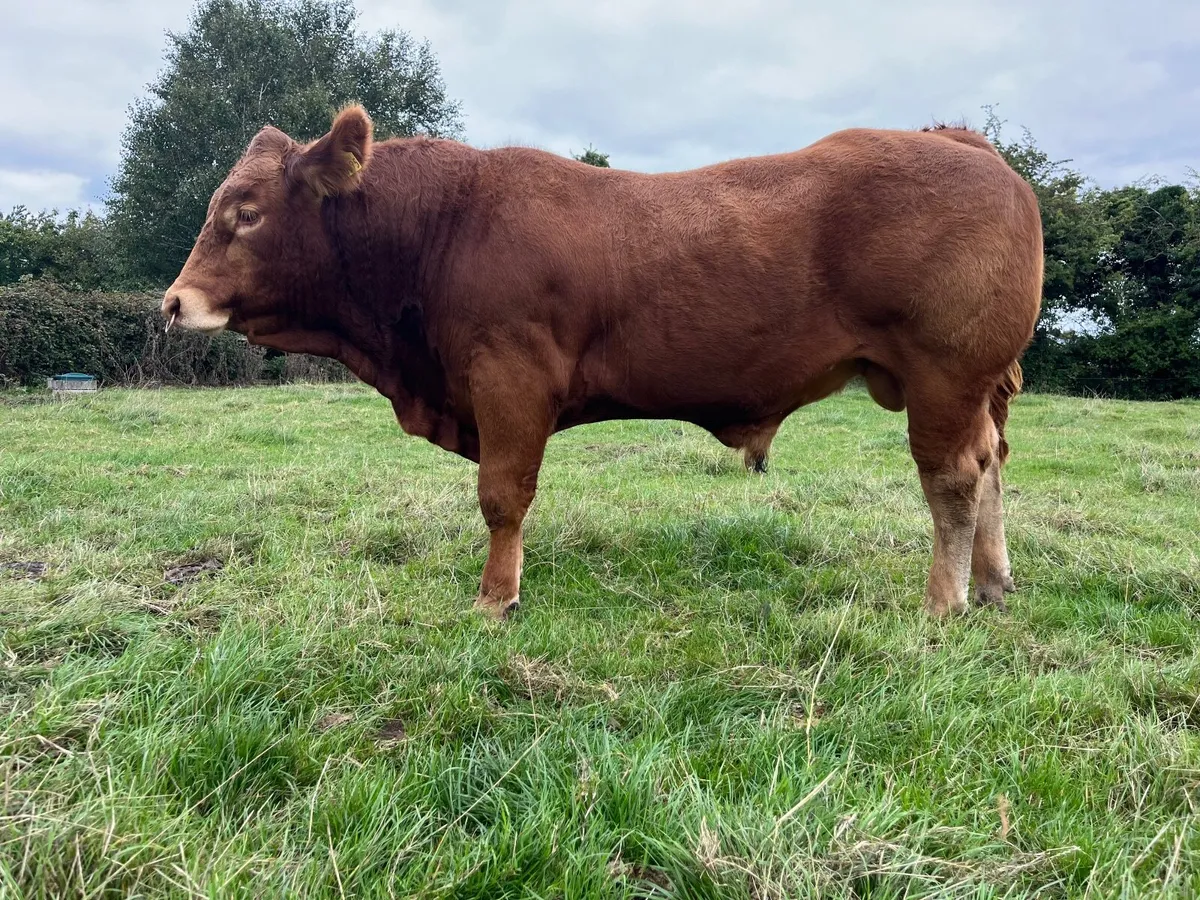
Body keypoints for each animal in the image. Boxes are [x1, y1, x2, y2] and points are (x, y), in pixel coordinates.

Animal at [163, 105, 1042, 619]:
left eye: (246, 213)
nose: (173, 303)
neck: (445, 226)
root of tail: (963, 144)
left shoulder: (510, 379)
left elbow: (502, 497)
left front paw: (496, 599)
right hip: (975, 387)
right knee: (992, 465)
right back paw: (993, 581)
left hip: (945, 375)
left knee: (953, 479)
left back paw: (944, 602)